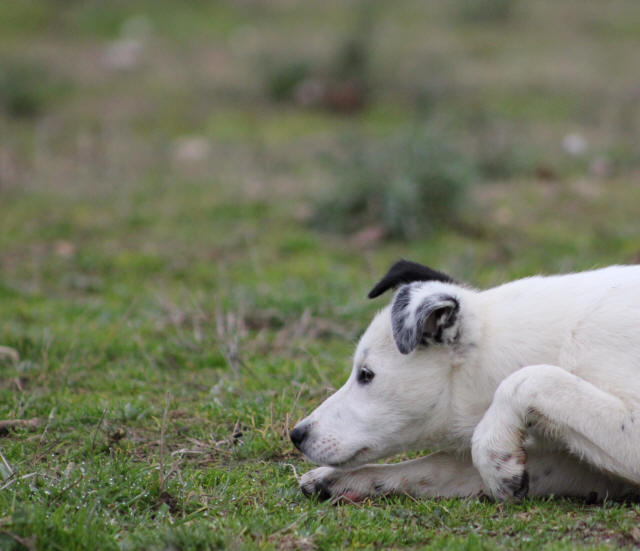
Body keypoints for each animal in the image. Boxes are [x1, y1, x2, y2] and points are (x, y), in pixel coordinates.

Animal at [292, 260, 640, 502]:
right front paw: (339, 479)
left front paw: (492, 453)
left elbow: (526, 380)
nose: (297, 435)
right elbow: (440, 466)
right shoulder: (592, 470)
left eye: (366, 375)